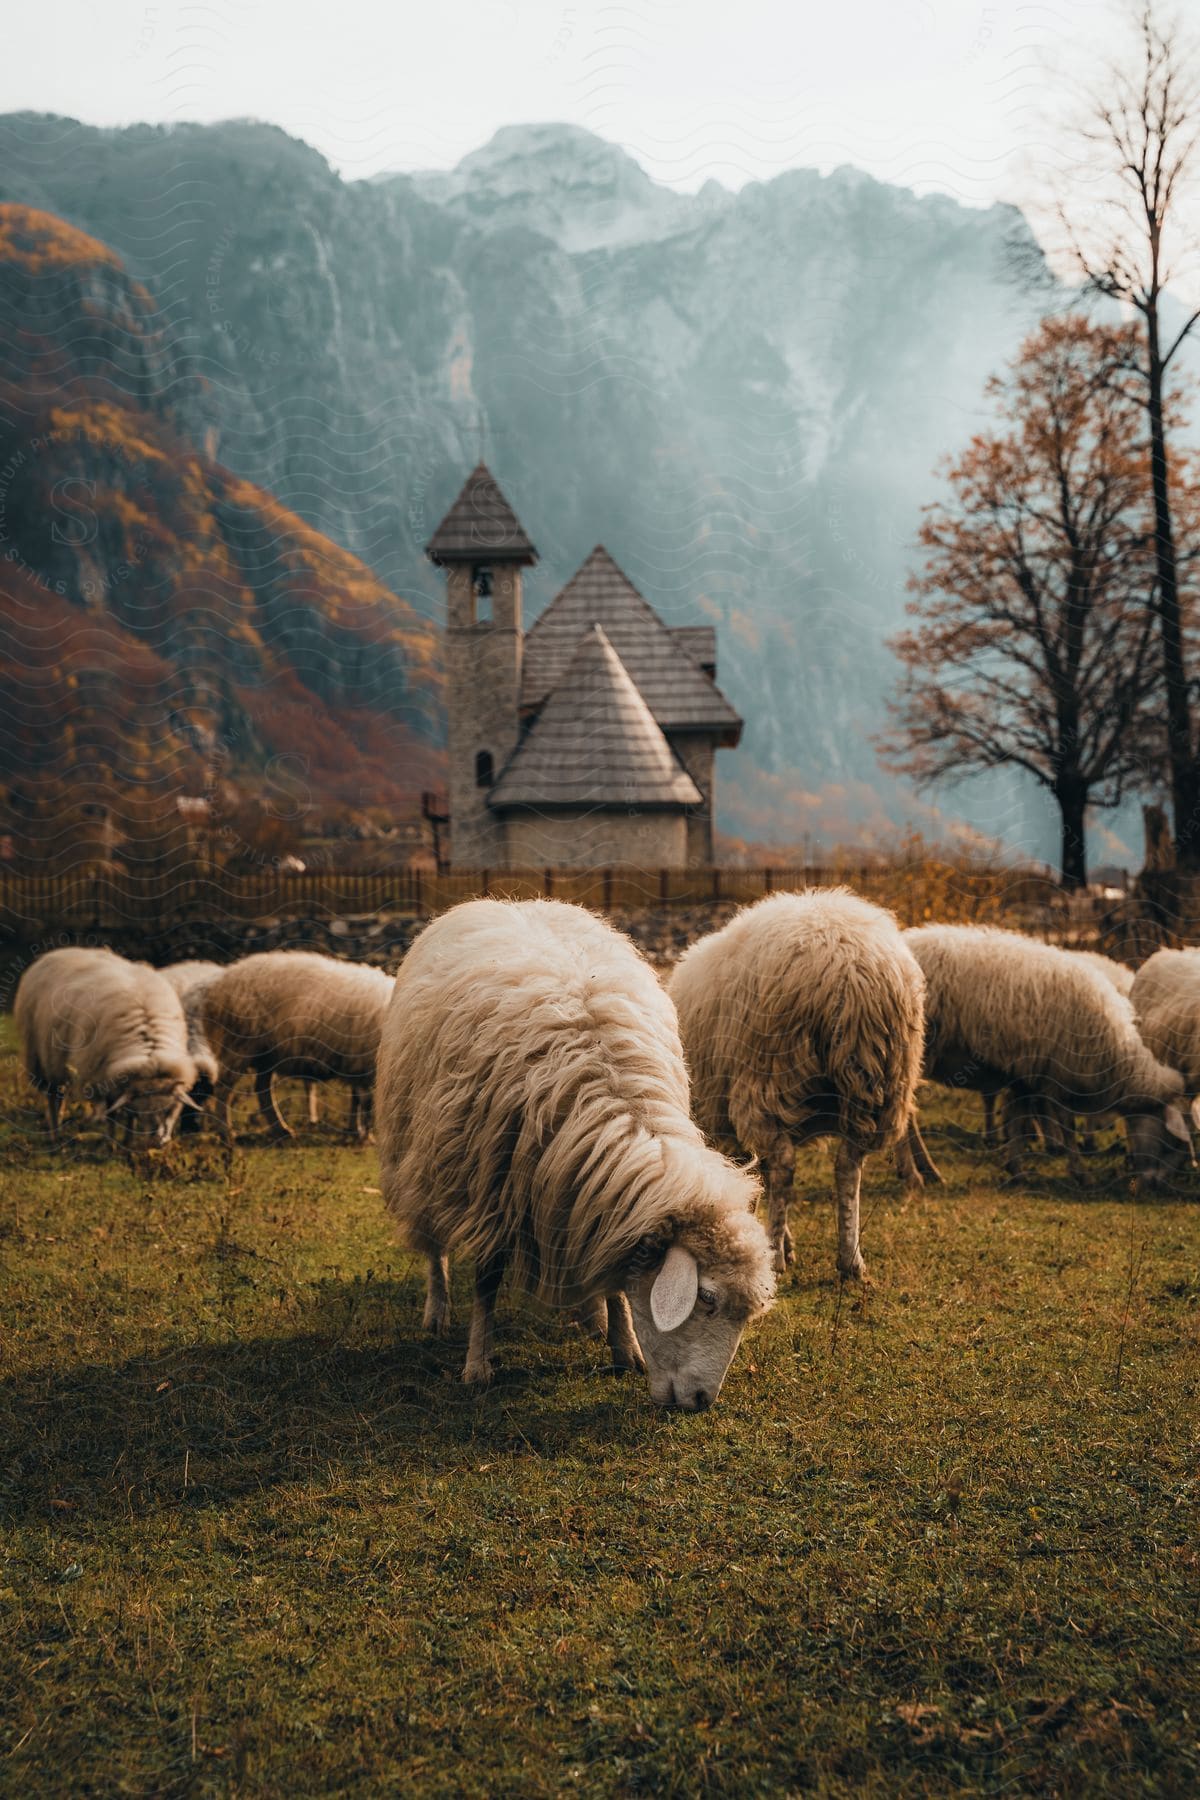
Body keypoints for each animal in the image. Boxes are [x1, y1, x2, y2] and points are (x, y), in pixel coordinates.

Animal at [13, 950, 197, 1144]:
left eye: (169, 1109)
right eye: (145, 1112)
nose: (158, 1141)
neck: (149, 1053)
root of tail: (56, 953)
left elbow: (128, 1114)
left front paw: (128, 1141)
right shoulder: (102, 1076)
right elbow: (112, 1114)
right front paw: (112, 1143)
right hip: (43, 1056)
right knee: (53, 1094)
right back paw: (55, 1133)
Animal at [201, 957, 394, 1137]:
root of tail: (217, 988)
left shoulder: (355, 1063)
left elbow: (356, 1100)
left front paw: (354, 1131)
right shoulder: (362, 1062)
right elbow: (365, 1101)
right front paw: (365, 1134)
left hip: (266, 1054)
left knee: (262, 1090)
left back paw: (281, 1129)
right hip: (239, 1044)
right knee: (223, 1089)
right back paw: (226, 1132)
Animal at [377, 900, 780, 1404]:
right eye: (706, 1298)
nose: (701, 1403)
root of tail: (507, 900)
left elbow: (615, 1274)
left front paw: (623, 1345)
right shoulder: (491, 1188)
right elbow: (487, 1279)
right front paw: (477, 1364)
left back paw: (592, 1318)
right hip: (424, 1151)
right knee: (432, 1239)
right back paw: (437, 1309)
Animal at [672, 885, 928, 1281]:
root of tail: (850, 971)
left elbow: (755, 1181)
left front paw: (775, 1242)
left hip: (768, 1076)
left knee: (784, 1167)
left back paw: (777, 1255)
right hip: (882, 1088)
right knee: (848, 1166)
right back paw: (850, 1259)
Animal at [906, 921, 1187, 1188]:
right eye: (1172, 1143)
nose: (1159, 1185)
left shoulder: (1026, 1073)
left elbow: (1018, 1119)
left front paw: (1017, 1169)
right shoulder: (1057, 1073)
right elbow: (1065, 1124)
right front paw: (1080, 1173)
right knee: (908, 1114)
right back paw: (923, 1171)